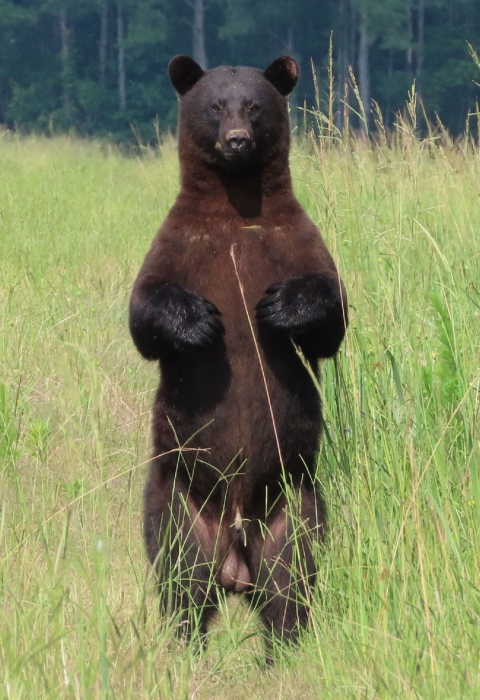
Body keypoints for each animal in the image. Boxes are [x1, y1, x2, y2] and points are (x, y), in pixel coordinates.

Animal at [129, 54, 348, 659]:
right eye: (214, 106)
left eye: (253, 105)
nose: (236, 140)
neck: (236, 205)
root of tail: (234, 558)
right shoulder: (178, 247)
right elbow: (144, 314)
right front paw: (200, 322)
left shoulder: (296, 241)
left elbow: (332, 314)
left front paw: (280, 308)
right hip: (178, 499)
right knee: (179, 578)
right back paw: (185, 649)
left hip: (294, 506)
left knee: (293, 581)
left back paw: (283, 651)